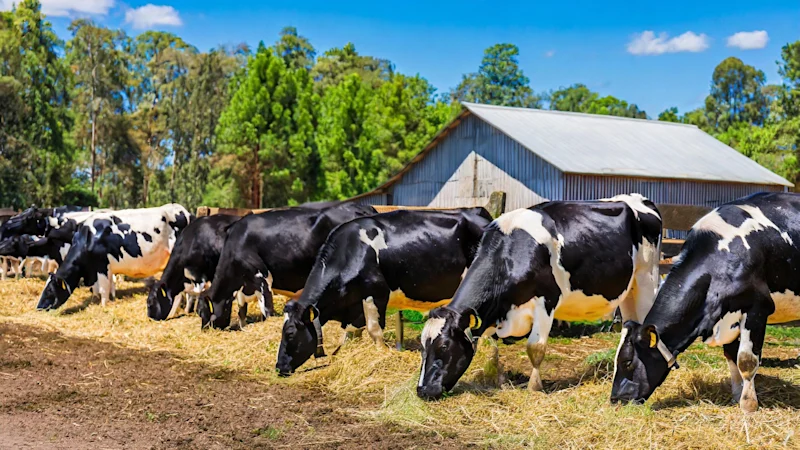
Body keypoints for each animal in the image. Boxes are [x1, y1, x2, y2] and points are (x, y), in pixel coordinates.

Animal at [36, 204, 191, 310]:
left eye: (49, 290)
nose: (38, 307)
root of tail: (182, 210)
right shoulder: (104, 269)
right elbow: (108, 286)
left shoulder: (102, 267)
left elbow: (104, 288)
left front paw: (104, 305)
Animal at [197, 202, 377, 330]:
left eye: (200, 312)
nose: (205, 329)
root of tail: (361, 207)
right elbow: (242, 311)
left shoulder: (261, 276)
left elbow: (266, 307)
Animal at [276, 208, 493, 376]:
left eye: (290, 333)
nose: (279, 367)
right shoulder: (354, 305)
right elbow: (351, 332)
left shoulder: (375, 293)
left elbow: (374, 329)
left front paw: (382, 354)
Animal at [416, 194, 662, 400]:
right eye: (423, 345)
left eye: (444, 346)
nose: (422, 390)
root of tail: (637, 199)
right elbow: (494, 350)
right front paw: (501, 379)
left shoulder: (546, 300)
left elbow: (536, 347)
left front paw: (534, 388)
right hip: (629, 289)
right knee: (629, 325)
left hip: (647, 278)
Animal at [611, 192, 800, 412]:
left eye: (627, 362)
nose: (615, 399)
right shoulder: (729, 315)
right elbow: (731, 355)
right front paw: (737, 395)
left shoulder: (757, 309)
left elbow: (746, 360)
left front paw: (748, 405)